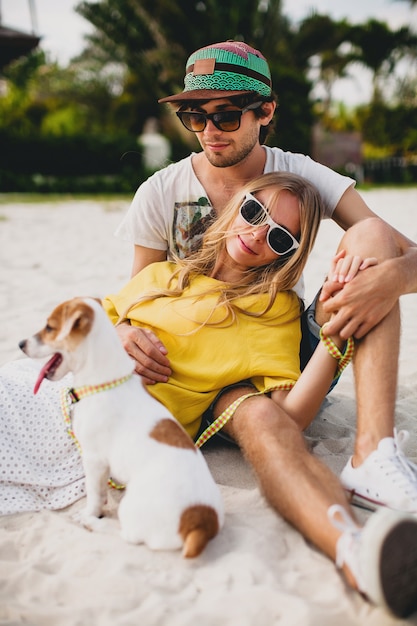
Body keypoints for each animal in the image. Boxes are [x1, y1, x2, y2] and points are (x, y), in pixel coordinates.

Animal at [18, 298, 224, 556]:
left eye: (49, 327)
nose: (20, 344)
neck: (106, 382)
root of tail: (199, 526)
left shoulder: (93, 459)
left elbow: (94, 493)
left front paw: (90, 513)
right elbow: (101, 492)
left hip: (130, 504)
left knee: (127, 536)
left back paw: (93, 523)